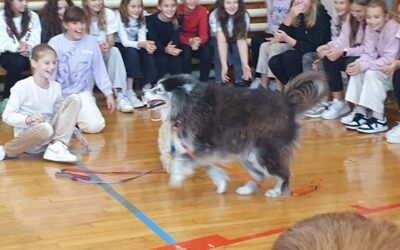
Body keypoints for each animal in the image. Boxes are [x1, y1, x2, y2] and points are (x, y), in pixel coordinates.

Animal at [144, 72, 328, 197]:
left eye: (158, 89)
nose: (143, 93)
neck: (188, 102)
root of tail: (289, 104)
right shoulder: (205, 151)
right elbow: (213, 169)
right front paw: (221, 185)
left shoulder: (204, 147)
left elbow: (181, 160)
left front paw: (176, 177)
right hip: (248, 154)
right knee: (259, 174)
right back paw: (248, 188)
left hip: (264, 151)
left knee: (283, 173)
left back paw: (276, 191)